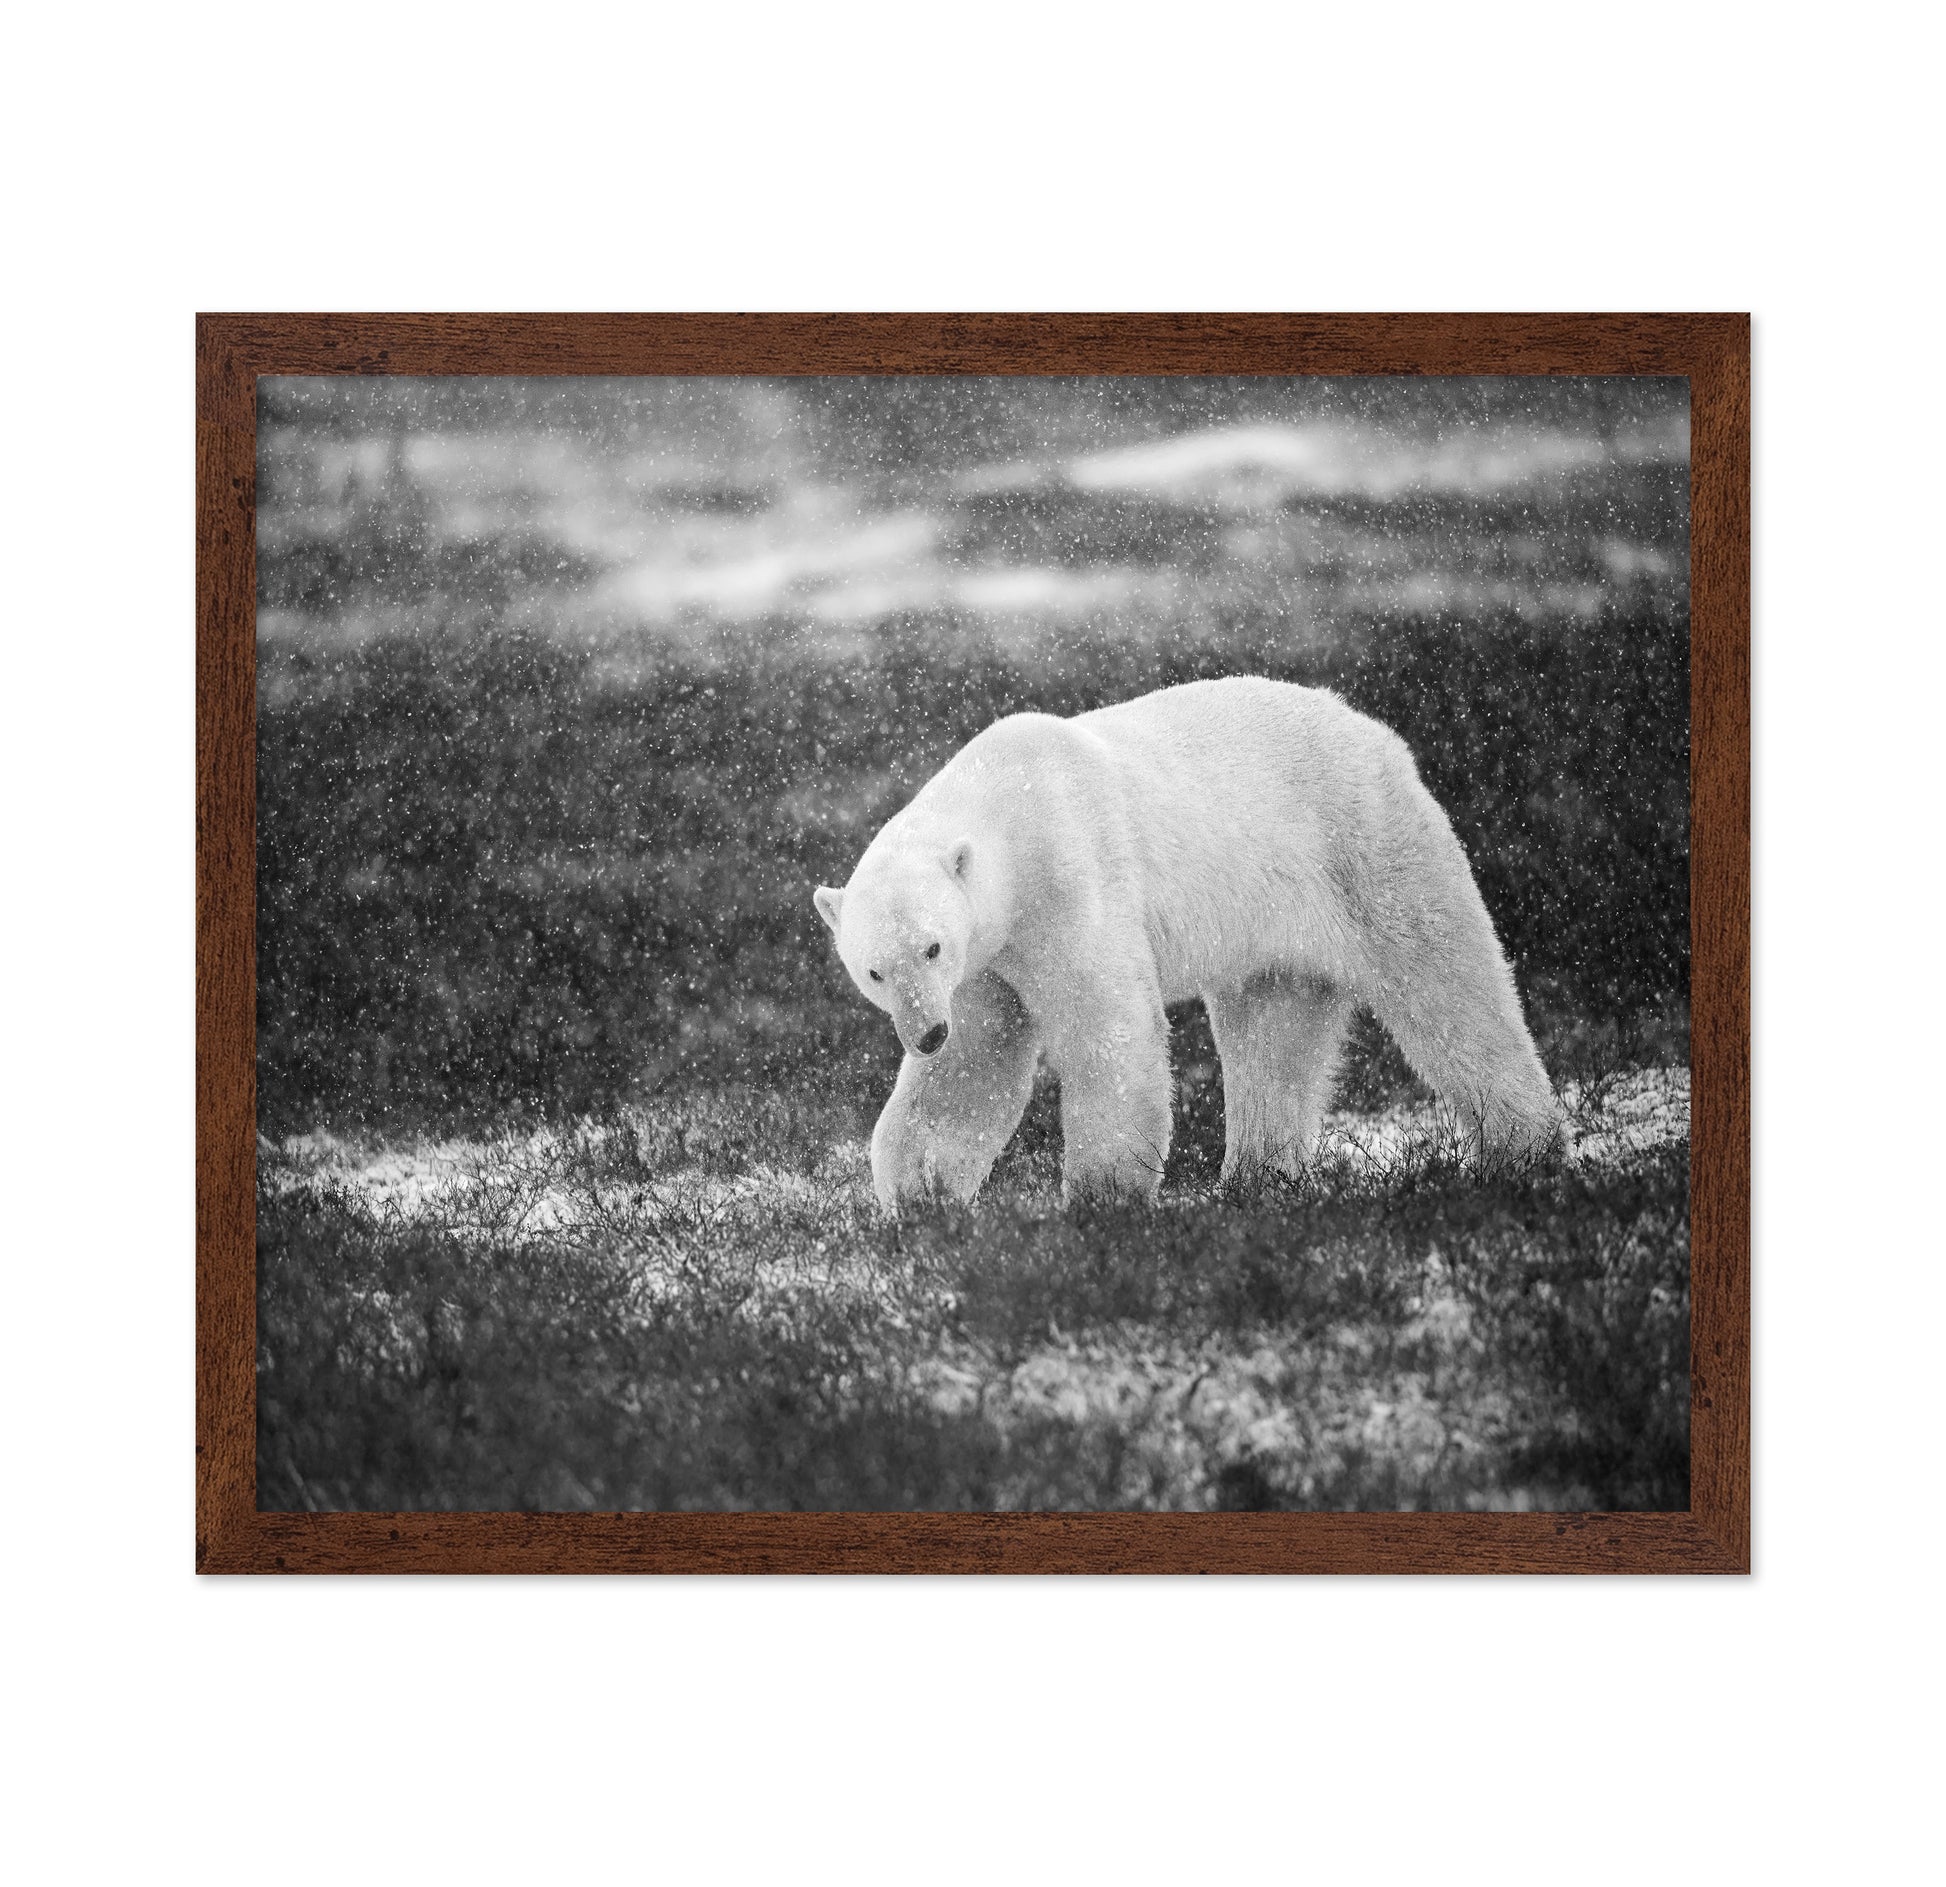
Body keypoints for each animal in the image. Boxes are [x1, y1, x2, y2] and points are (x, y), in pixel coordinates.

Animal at [813, 676, 1561, 1211]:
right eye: (874, 971)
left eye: (931, 948)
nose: (924, 1033)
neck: (1007, 807)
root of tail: (1372, 729)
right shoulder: (987, 964)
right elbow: (974, 1064)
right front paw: (918, 1196)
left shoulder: (1070, 879)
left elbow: (1107, 1025)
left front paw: (1103, 1197)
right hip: (1272, 921)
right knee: (1274, 1034)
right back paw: (1256, 1179)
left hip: (1365, 846)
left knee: (1447, 985)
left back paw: (1522, 1148)